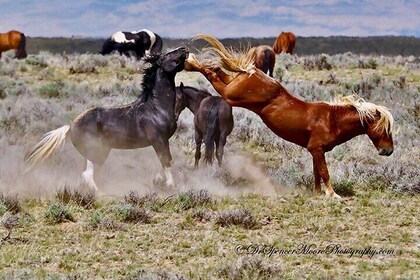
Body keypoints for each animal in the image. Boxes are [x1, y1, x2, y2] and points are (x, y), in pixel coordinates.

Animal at [25, 47, 189, 194]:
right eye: (167, 55)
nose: (184, 49)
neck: (155, 108)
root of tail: (71, 126)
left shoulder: (163, 141)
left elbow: (165, 162)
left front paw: (158, 180)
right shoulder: (159, 140)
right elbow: (166, 161)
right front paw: (170, 185)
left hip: (101, 152)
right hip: (96, 152)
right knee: (87, 174)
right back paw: (99, 192)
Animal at [184, 34, 394, 199]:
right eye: (383, 128)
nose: (388, 151)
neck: (331, 119)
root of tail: (252, 71)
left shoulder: (316, 151)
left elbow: (317, 174)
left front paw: (317, 193)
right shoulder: (317, 149)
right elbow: (325, 173)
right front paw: (333, 195)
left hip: (231, 86)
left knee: (217, 71)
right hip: (230, 95)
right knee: (210, 73)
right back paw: (189, 61)